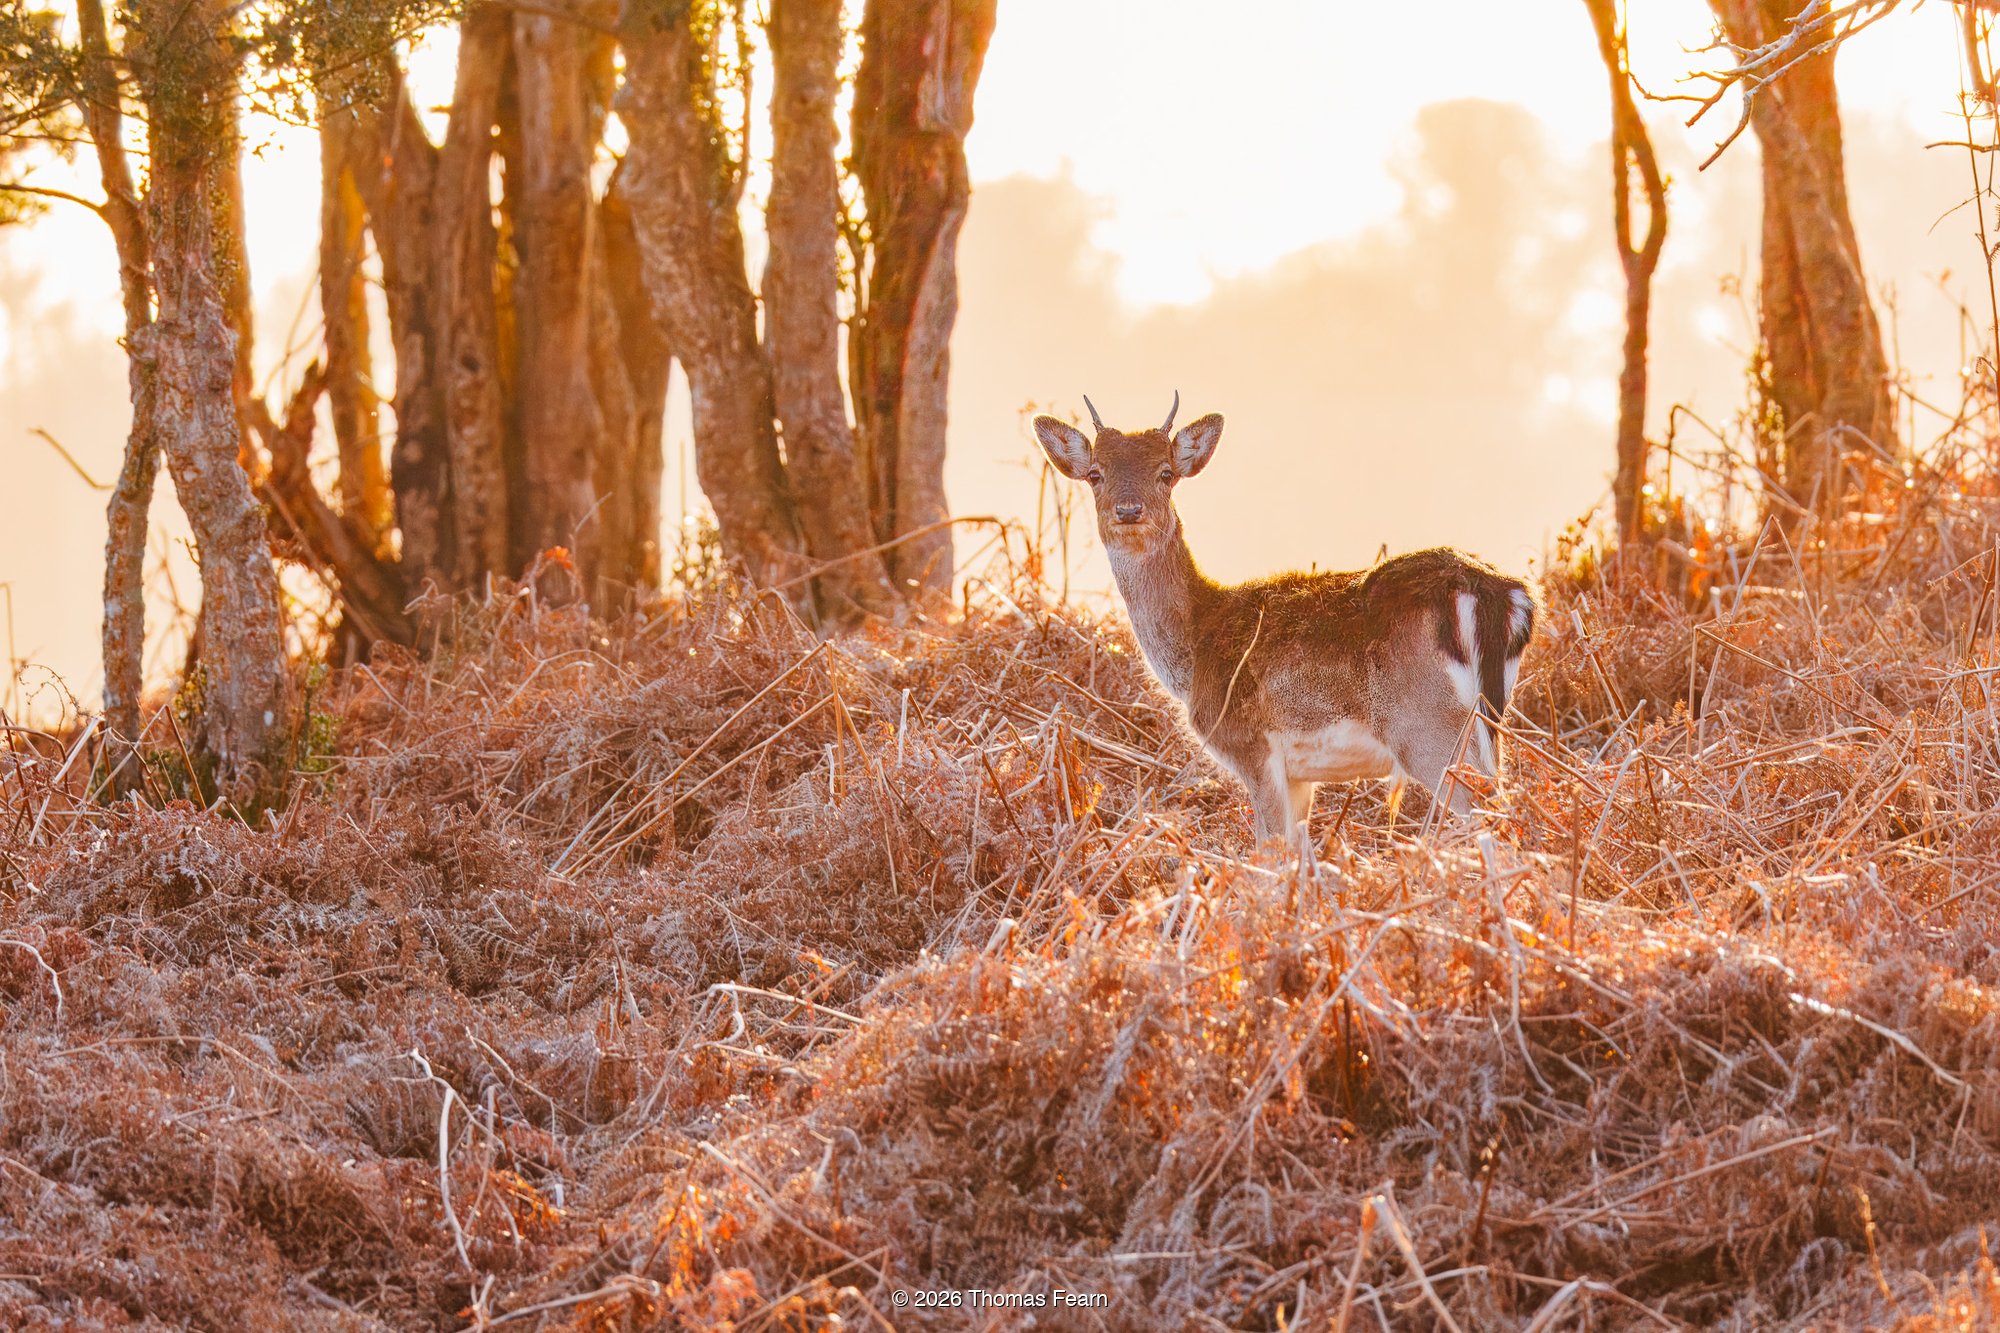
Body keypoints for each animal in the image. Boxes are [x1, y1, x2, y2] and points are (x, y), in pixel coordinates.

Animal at [1033, 393, 1536, 847]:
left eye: (1166, 473)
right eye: (1095, 474)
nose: (1129, 510)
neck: (1195, 650)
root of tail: (1497, 593)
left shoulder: (1252, 747)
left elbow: (1269, 854)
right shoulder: (1300, 776)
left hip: (1429, 729)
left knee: (1492, 821)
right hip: (1491, 723)